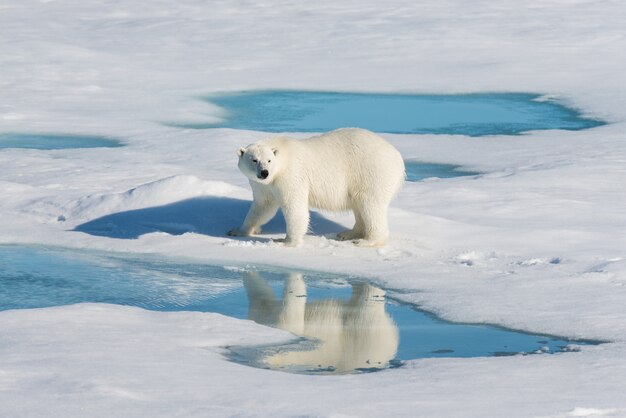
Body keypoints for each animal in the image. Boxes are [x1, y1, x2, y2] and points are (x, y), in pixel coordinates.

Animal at [227, 126, 402, 245]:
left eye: (269, 160)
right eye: (254, 160)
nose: (264, 172)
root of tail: (398, 157)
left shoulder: (290, 175)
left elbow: (294, 206)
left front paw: (286, 241)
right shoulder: (264, 186)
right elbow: (263, 207)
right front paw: (238, 230)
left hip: (371, 172)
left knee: (371, 205)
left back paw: (366, 241)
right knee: (359, 206)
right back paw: (348, 233)